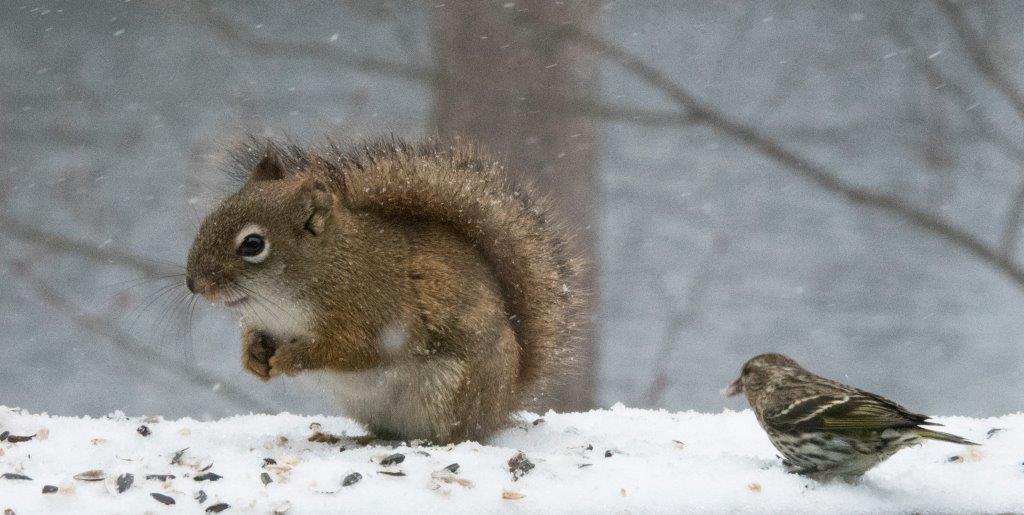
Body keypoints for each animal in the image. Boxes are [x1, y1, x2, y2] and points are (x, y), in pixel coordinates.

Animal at [185, 136, 583, 444]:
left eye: (253, 245)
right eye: (208, 220)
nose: (194, 284)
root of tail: (504, 401)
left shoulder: (376, 312)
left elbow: (350, 350)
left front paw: (291, 358)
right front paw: (253, 357)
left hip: (450, 393)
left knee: (456, 434)